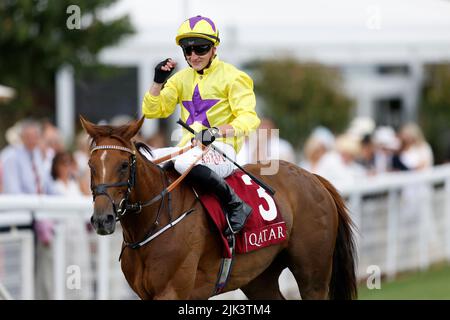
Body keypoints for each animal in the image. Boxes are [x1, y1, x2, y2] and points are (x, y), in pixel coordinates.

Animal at [80, 117, 356, 300]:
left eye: (124, 165)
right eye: (91, 165)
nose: (102, 219)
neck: (154, 223)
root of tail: (312, 177)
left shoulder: (171, 292)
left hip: (313, 275)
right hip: (260, 276)